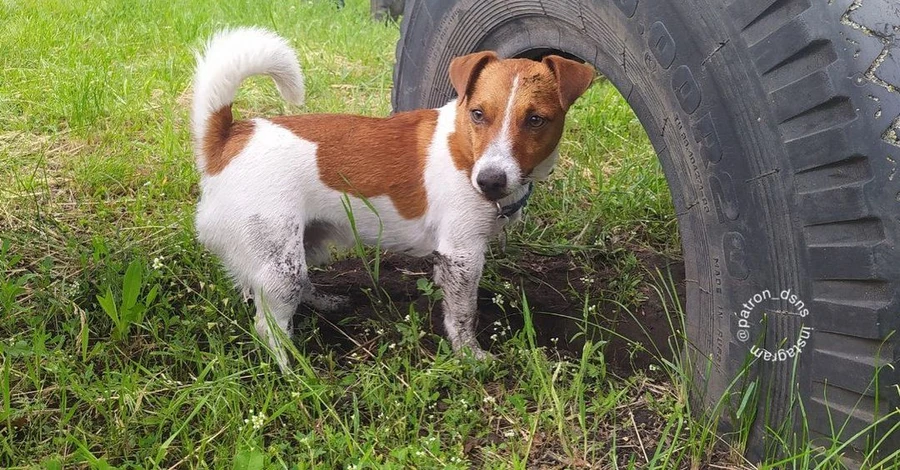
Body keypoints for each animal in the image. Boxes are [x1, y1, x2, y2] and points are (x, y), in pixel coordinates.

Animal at [190, 27, 596, 370]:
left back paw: (324, 303)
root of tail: (227, 139)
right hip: (280, 267)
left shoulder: (451, 258)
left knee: (274, 287)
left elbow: (450, 302)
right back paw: (295, 374)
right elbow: (463, 315)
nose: (490, 182)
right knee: (268, 327)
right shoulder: (463, 255)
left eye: (536, 120)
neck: (465, 150)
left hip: (303, 245)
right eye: (478, 114)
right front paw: (470, 356)